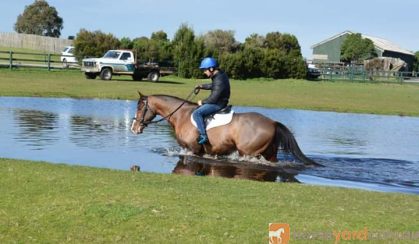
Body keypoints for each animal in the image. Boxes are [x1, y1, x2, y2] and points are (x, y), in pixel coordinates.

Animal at [131, 92, 322, 167]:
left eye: (140, 107)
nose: (134, 128)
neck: (182, 115)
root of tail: (273, 122)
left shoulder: (193, 150)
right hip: (270, 153)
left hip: (248, 152)